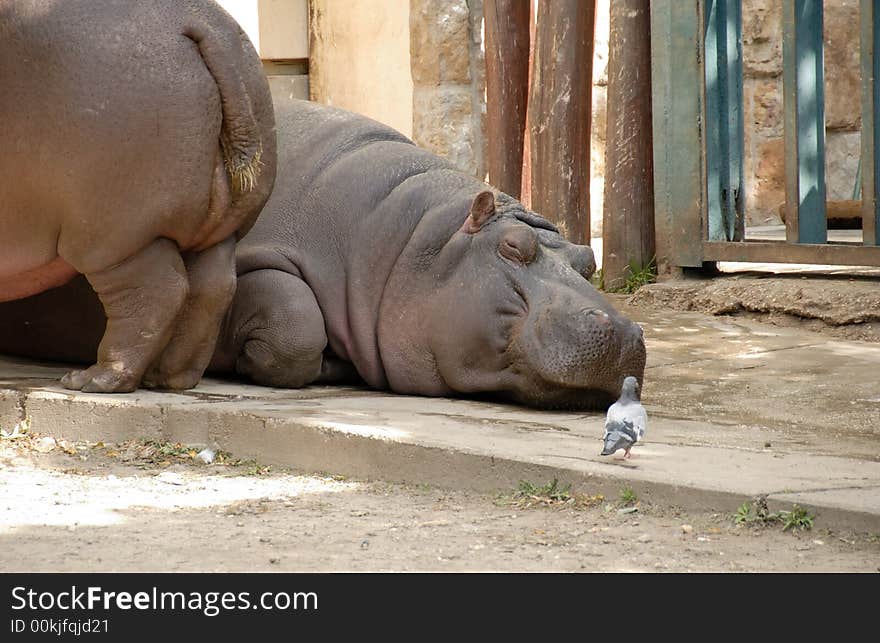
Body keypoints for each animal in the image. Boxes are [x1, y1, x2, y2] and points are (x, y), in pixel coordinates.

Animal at [0, 1, 276, 392]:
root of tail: (200, 20)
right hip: (218, 230)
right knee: (212, 288)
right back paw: (167, 378)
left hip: (113, 237)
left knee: (156, 293)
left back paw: (92, 380)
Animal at [0, 98, 648, 410]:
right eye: (512, 248)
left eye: (588, 259)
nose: (623, 329)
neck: (416, 242)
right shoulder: (261, 261)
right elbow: (293, 324)